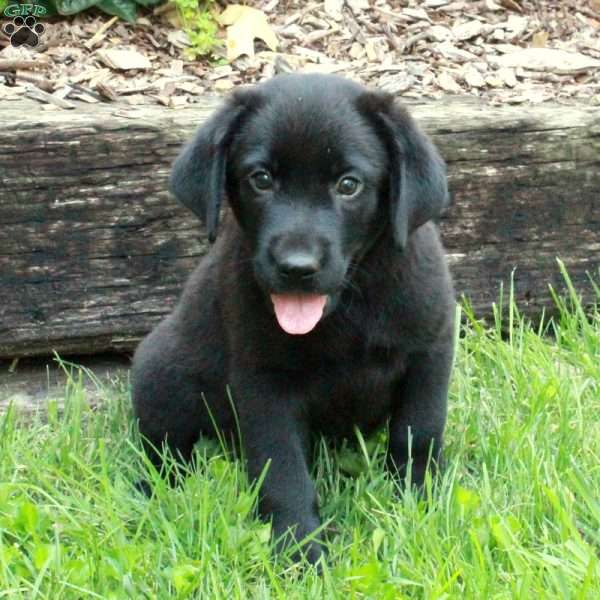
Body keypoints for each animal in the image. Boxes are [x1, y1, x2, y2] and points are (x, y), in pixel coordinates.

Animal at [132, 72, 454, 564]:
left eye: (348, 184)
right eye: (261, 179)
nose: (296, 267)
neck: (346, 307)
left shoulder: (430, 352)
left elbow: (418, 436)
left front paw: (419, 509)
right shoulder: (264, 383)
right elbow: (283, 472)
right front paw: (300, 552)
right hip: (161, 371)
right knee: (165, 448)